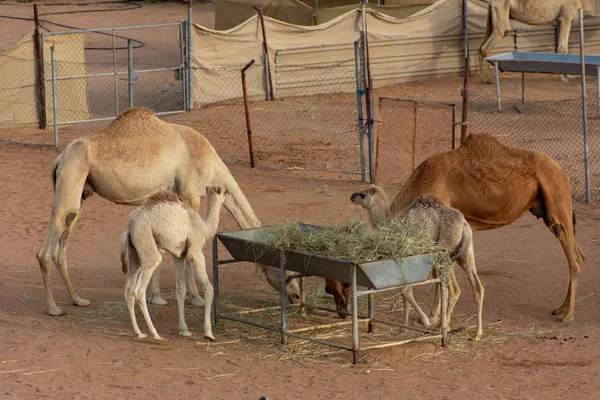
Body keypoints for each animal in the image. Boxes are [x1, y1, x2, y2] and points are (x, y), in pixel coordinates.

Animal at [36, 108, 300, 318]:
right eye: (286, 271)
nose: (297, 297)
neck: (209, 158)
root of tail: (59, 158)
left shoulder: (168, 195)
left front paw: (156, 298)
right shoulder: (190, 194)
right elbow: (191, 247)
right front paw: (196, 298)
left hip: (81, 191)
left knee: (64, 240)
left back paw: (78, 300)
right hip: (72, 176)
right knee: (46, 249)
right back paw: (53, 308)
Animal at [121, 187, 227, 340]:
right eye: (225, 191)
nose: (228, 193)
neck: (205, 228)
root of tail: (130, 225)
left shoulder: (179, 256)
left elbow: (180, 290)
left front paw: (184, 330)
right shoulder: (196, 251)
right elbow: (209, 289)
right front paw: (208, 333)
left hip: (135, 252)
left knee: (128, 289)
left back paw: (139, 333)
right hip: (146, 240)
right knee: (139, 290)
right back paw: (156, 335)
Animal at [350, 186, 486, 340]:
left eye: (362, 195)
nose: (352, 196)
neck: (390, 226)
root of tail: (463, 224)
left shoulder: (403, 257)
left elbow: (406, 292)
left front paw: (424, 322)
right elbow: (405, 293)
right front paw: (403, 329)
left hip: (444, 252)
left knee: (454, 290)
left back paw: (443, 326)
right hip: (465, 254)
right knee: (477, 287)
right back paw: (476, 333)